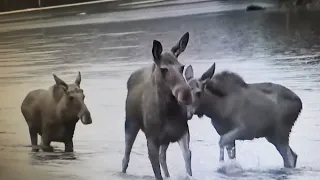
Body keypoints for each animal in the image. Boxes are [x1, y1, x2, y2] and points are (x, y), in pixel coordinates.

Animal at [121, 32, 195, 180]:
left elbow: (188, 164)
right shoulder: (152, 140)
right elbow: (157, 173)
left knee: (163, 158)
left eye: (181, 67)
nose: (186, 95)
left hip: (165, 140)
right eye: (164, 69)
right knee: (125, 158)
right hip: (130, 125)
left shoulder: (183, 133)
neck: (169, 112)